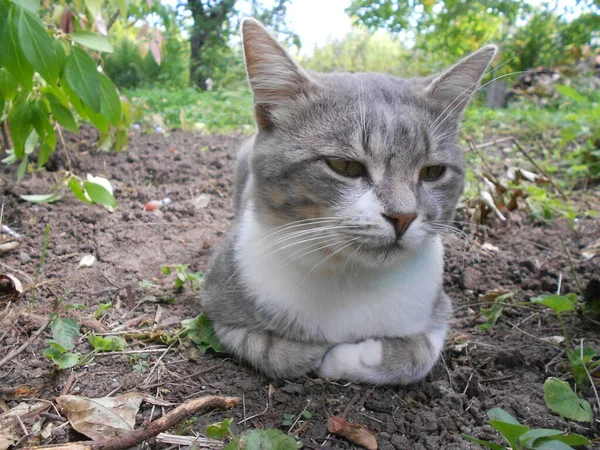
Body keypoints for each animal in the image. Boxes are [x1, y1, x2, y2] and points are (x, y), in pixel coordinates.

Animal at [202, 17, 496, 384]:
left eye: (432, 171)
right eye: (345, 166)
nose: (403, 217)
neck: (351, 276)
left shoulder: (439, 311)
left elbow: (420, 355)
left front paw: (348, 356)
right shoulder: (218, 304)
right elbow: (273, 351)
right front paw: (312, 352)